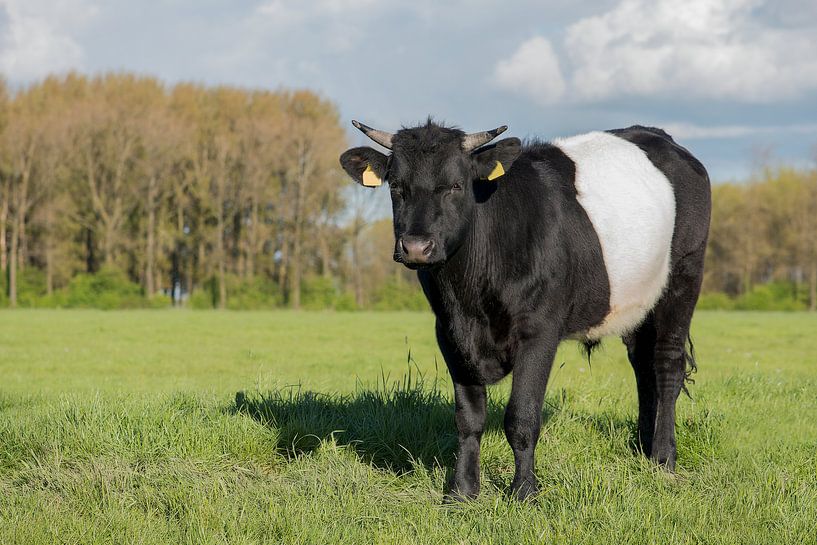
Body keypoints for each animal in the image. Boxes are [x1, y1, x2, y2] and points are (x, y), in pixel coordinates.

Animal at [338, 120, 708, 502]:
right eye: (396, 186)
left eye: (456, 185)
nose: (416, 247)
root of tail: (657, 135)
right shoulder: (450, 333)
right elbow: (469, 418)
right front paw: (462, 491)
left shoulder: (539, 332)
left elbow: (522, 415)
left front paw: (524, 491)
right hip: (637, 302)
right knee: (642, 363)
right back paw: (641, 447)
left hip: (684, 276)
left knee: (667, 364)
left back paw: (663, 458)